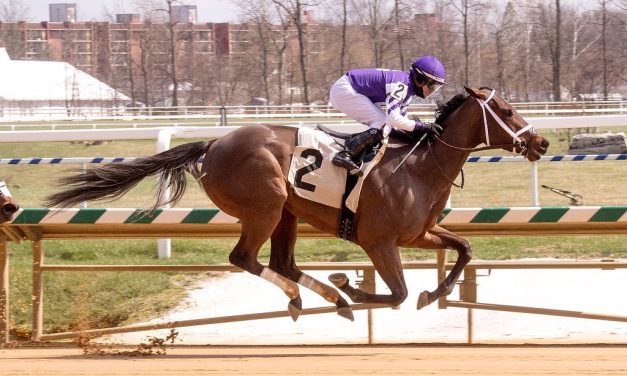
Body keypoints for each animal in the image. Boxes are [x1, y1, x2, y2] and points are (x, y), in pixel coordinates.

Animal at [45, 87, 548, 320]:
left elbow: (463, 250)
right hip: (265, 207)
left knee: (281, 262)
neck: (419, 166)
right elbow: (398, 293)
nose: (540, 142)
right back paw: (319, 295)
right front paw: (355, 287)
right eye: (505, 111)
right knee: (245, 258)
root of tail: (214, 143)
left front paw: (434, 294)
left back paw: (324, 296)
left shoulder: (418, 233)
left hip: (286, 212)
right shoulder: (379, 241)